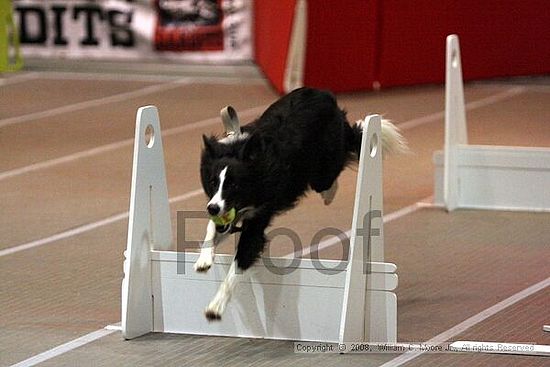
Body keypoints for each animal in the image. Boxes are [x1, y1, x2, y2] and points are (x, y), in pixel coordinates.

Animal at [196, 87, 408, 322]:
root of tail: (325, 95)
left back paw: (329, 193)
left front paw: (216, 306)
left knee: (334, 170)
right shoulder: (229, 210)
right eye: (213, 182)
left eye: (234, 184)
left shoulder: (258, 218)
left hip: (323, 165)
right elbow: (213, 227)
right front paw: (204, 260)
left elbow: (239, 263)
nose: (212, 208)